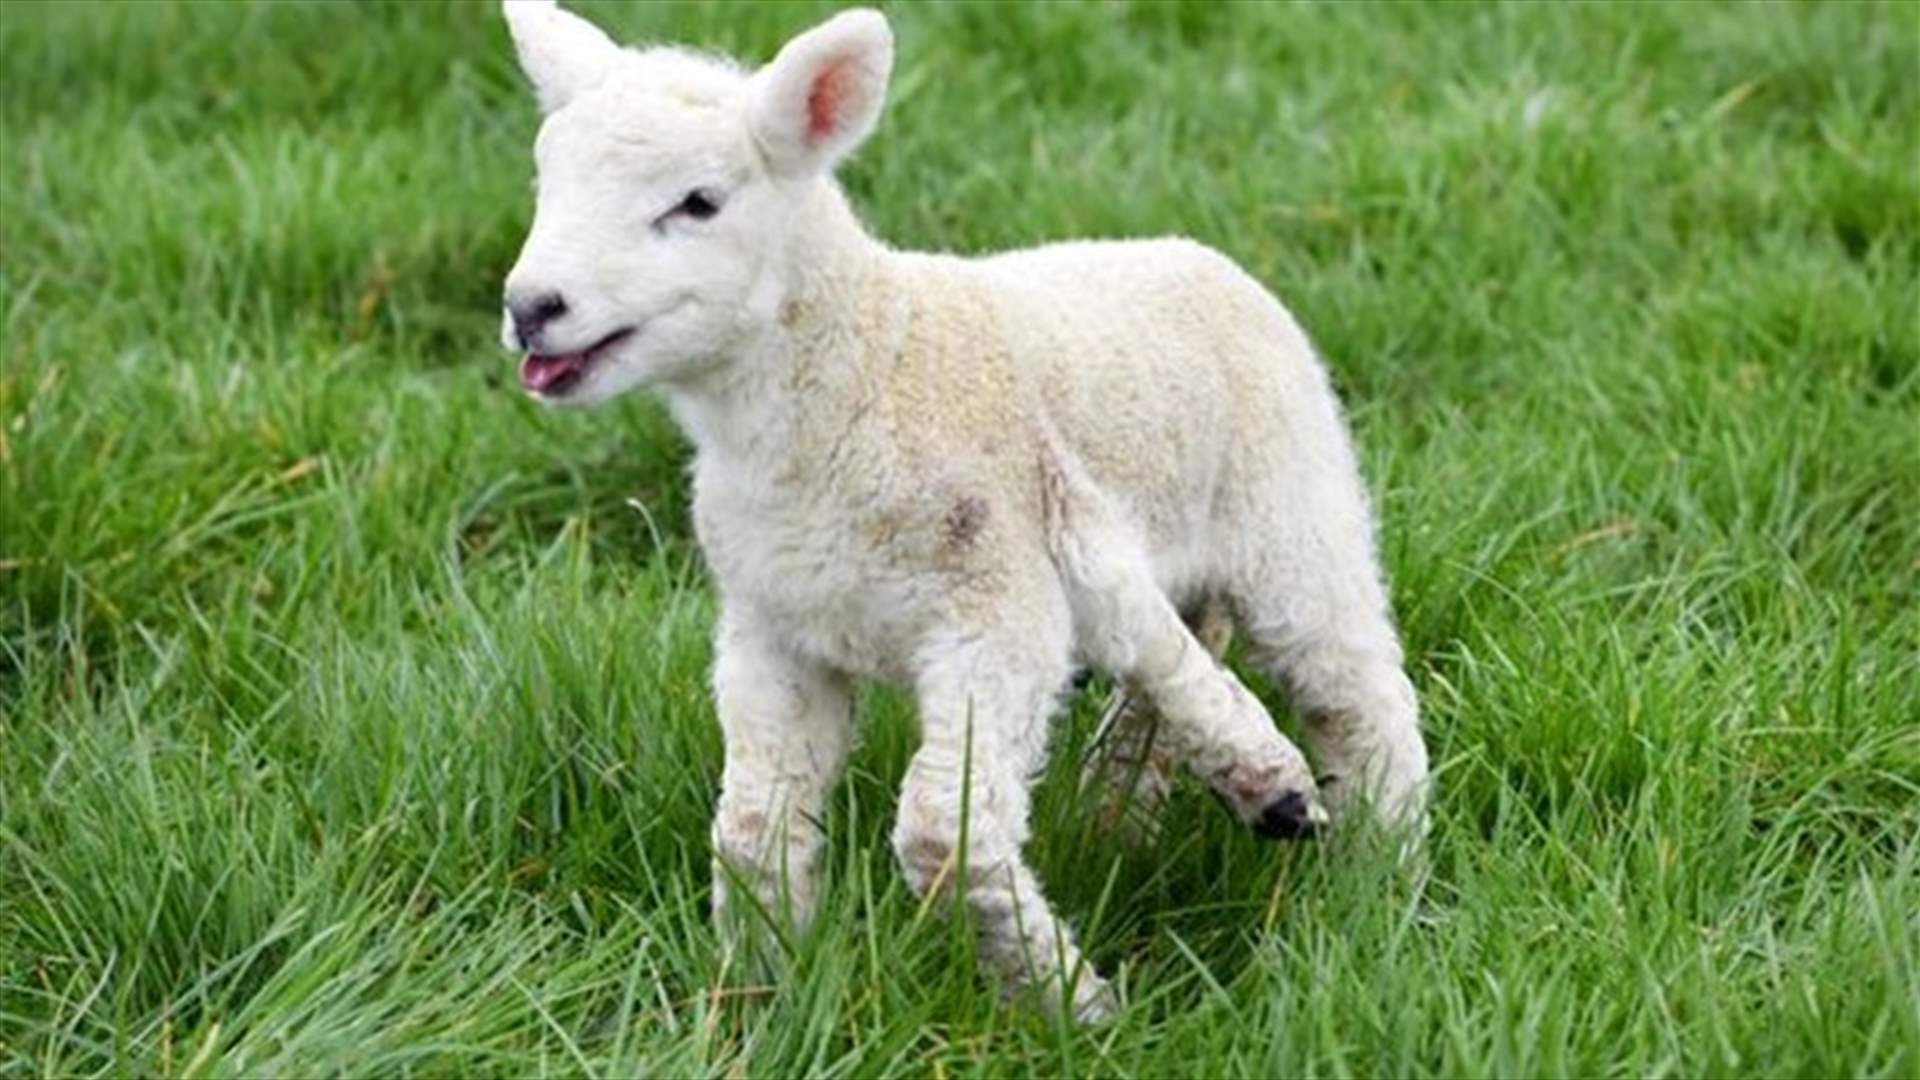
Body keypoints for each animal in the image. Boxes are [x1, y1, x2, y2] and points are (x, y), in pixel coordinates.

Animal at [497, 0, 1431, 1022]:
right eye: (544, 180)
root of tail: (1198, 256)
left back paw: (1377, 881)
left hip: (1293, 515)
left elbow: (942, 837)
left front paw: (1073, 1009)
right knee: (1164, 675)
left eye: (699, 203)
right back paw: (1163, 811)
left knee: (1359, 698)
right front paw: (763, 994)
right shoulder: (775, 630)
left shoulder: (996, 610)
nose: (532, 307)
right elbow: (753, 828)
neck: (865, 367)